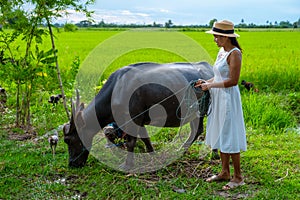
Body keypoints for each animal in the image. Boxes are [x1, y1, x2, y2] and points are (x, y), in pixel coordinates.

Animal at [63, 61, 213, 170]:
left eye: (68, 140)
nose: (72, 164)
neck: (117, 89)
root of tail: (209, 68)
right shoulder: (139, 120)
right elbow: (145, 138)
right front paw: (153, 154)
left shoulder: (133, 119)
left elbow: (131, 142)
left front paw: (127, 165)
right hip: (194, 112)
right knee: (196, 130)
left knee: (200, 130)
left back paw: (184, 149)